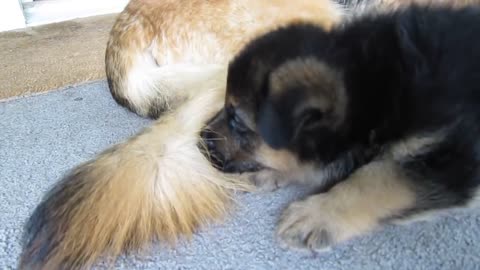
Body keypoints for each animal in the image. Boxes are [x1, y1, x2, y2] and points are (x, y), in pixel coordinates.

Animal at [202, 4, 480, 252]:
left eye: (236, 120)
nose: (200, 139)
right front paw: (267, 173)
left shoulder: (453, 156)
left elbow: (379, 178)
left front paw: (315, 215)